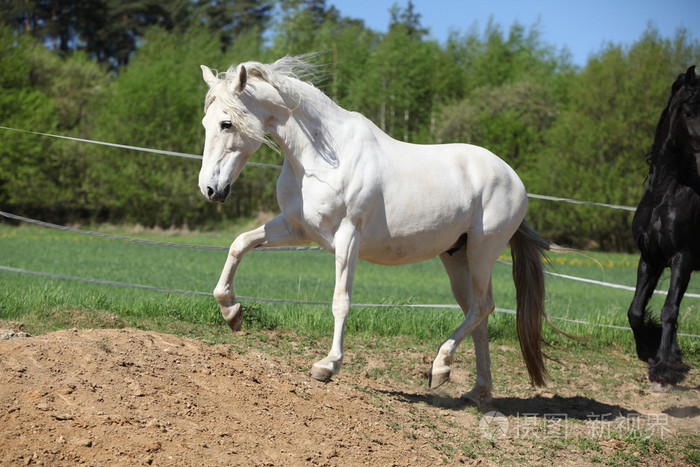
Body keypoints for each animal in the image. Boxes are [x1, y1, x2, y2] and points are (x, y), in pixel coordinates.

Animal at [197, 55, 570, 405]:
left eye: (226, 123)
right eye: (205, 123)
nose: (211, 189)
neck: (322, 158)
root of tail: (513, 178)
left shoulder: (348, 237)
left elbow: (341, 300)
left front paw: (327, 365)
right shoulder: (296, 228)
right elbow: (240, 244)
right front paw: (232, 312)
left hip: (483, 250)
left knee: (483, 307)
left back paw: (440, 366)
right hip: (456, 255)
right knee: (476, 315)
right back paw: (474, 389)